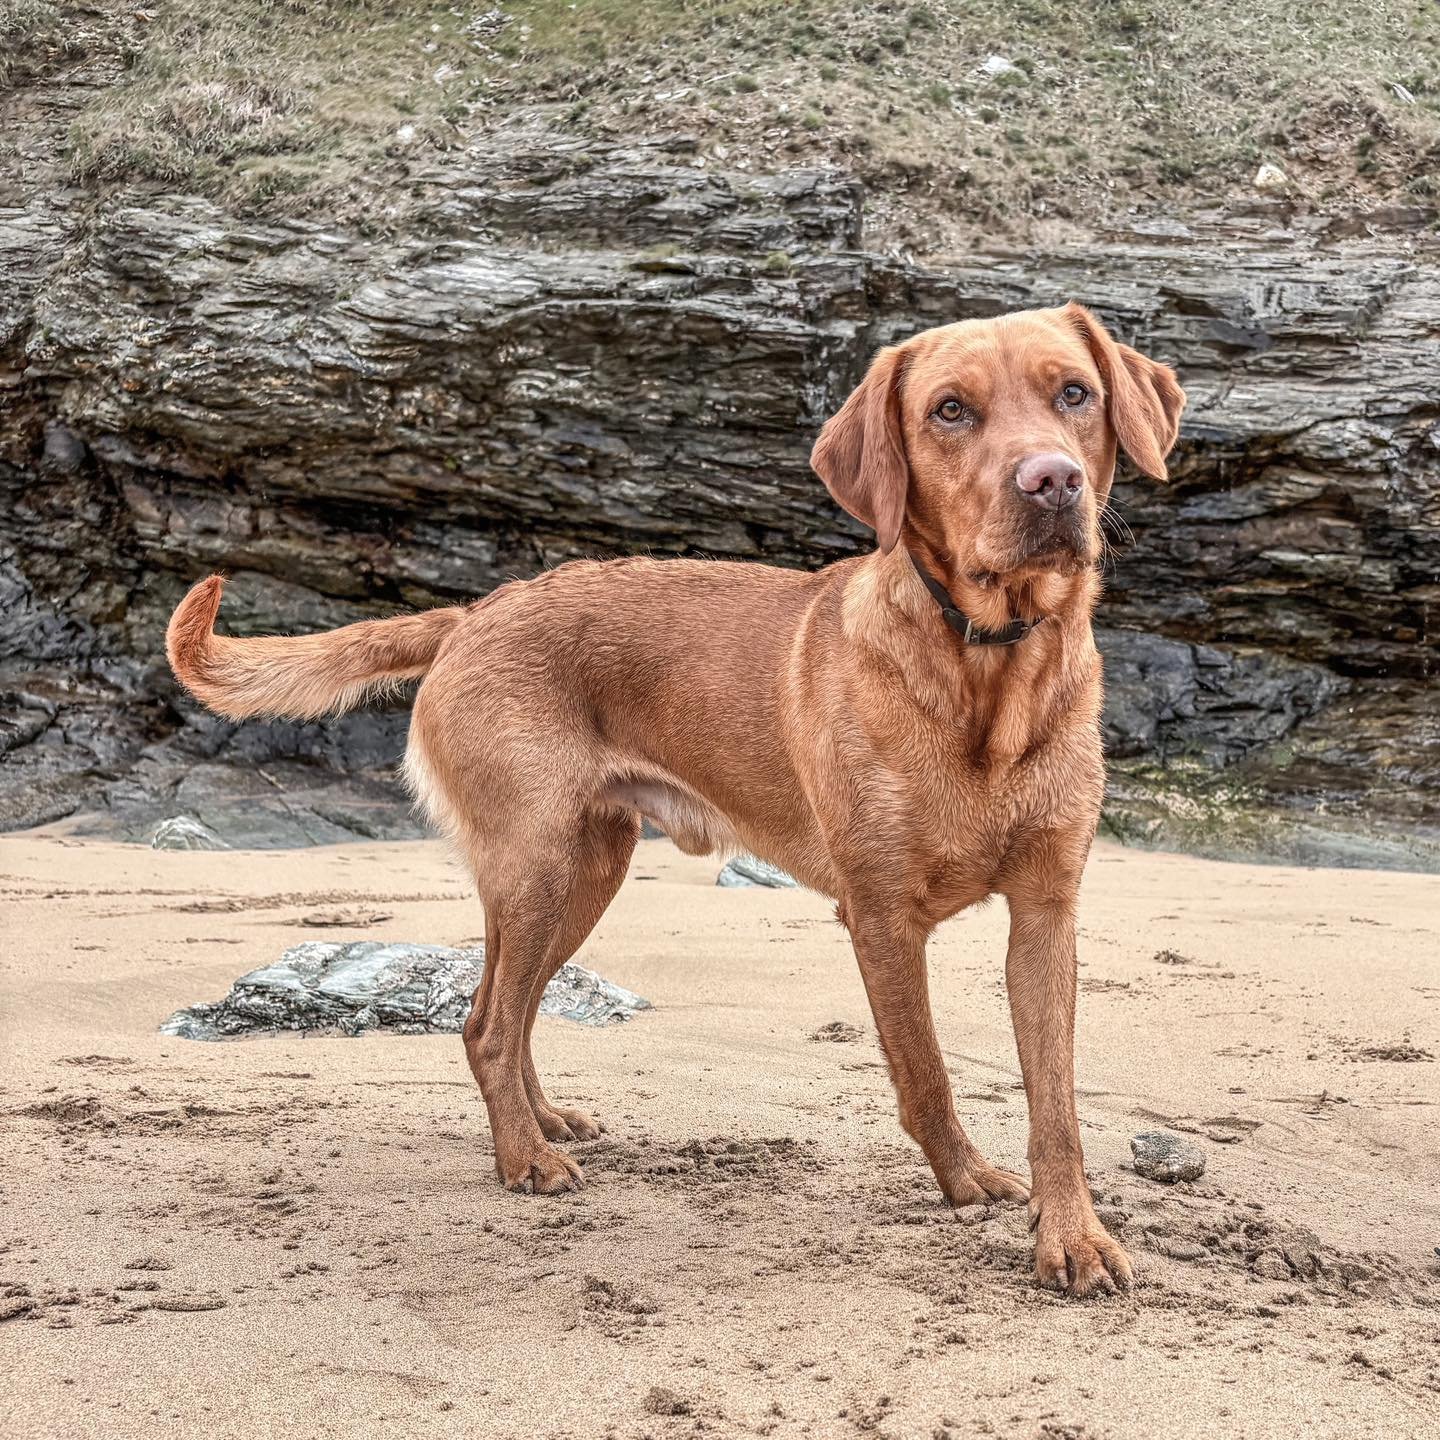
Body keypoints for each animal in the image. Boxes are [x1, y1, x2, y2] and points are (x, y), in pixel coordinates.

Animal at [168, 300, 1180, 1296]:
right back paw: (525, 1160)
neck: (990, 670)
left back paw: (543, 1121)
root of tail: (475, 612)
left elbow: (1057, 1105)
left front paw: (1073, 1237)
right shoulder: (883, 917)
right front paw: (965, 1182)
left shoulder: (1046, 914)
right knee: (491, 1022)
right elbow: (927, 1074)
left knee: (501, 1007)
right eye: (950, 411)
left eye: (1075, 394)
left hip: (584, 870)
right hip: (540, 866)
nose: (1051, 481)